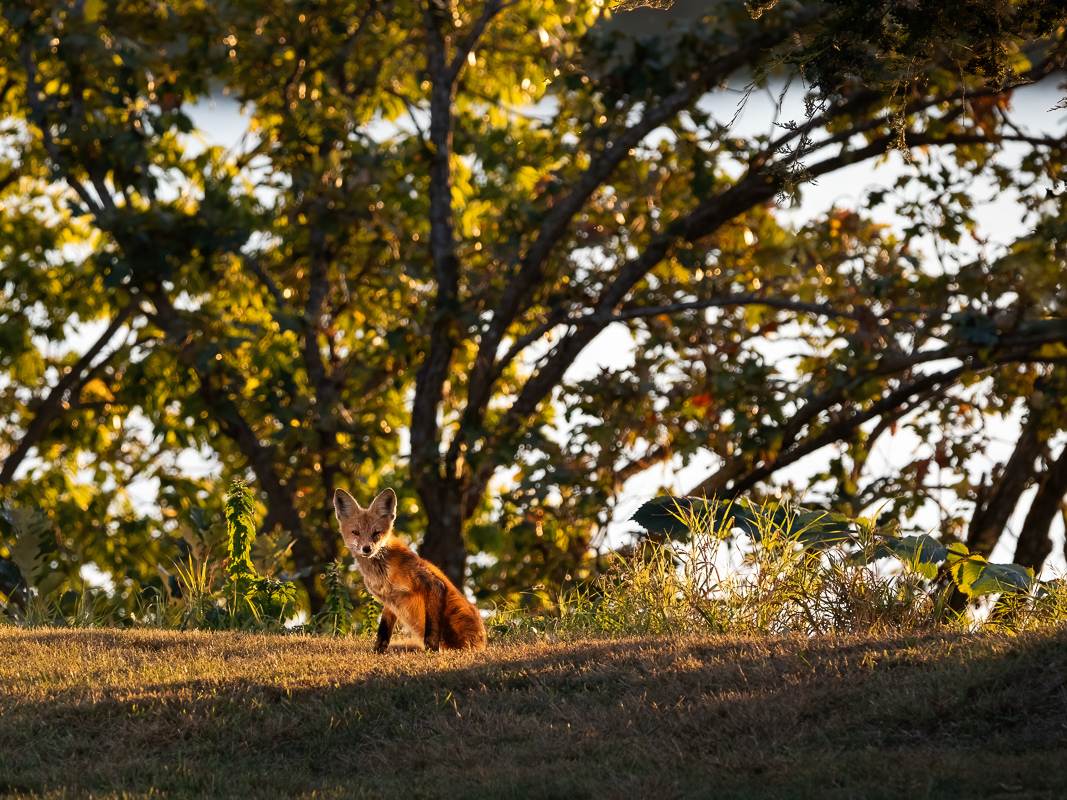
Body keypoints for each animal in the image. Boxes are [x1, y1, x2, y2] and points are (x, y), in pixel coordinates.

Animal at [333, 487, 487, 653]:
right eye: (355, 532)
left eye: (376, 533)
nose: (367, 548)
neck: (382, 573)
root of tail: (483, 643)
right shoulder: (390, 599)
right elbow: (383, 631)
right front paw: (378, 652)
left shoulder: (433, 584)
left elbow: (431, 631)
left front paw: (432, 652)